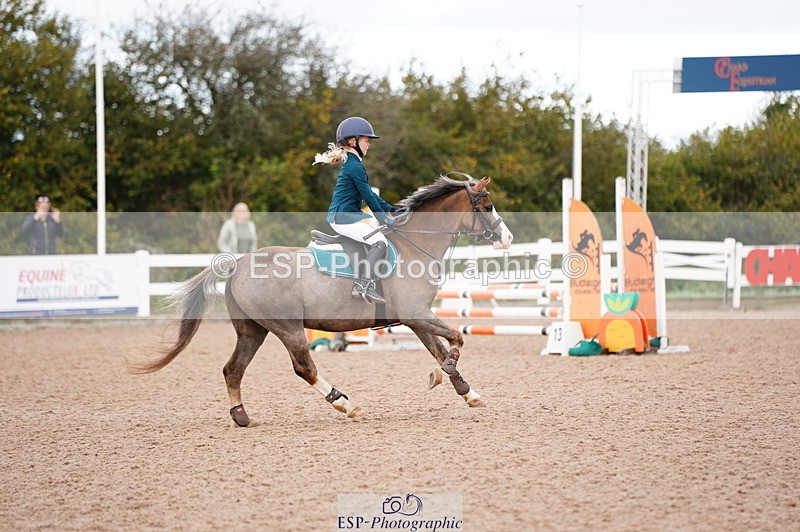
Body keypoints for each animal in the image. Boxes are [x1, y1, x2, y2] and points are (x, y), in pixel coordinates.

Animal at [130, 175, 514, 426]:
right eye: (488, 205)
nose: (507, 238)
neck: (412, 246)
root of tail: (237, 264)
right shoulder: (416, 313)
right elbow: (456, 338)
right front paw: (441, 375)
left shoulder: (415, 317)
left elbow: (441, 346)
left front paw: (466, 391)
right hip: (287, 328)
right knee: (304, 368)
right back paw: (345, 404)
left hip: (252, 330)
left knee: (233, 369)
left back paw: (242, 417)